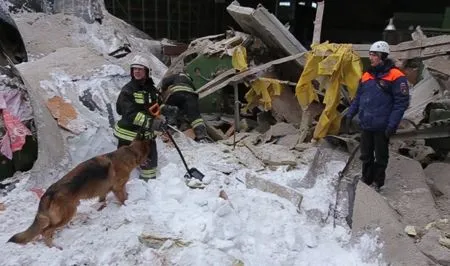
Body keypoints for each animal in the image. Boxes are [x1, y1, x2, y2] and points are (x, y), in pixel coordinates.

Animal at [7, 136, 151, 248]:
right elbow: (124, 199)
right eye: (148, 154)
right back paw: (53, 247)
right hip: (68, 214)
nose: (150, 161)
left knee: (43, 231)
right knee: (45, 231)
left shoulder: (103, 192)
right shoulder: (118, 188)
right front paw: (127, 206)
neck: (131, 152)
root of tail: (48, 193)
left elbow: (103, 200)